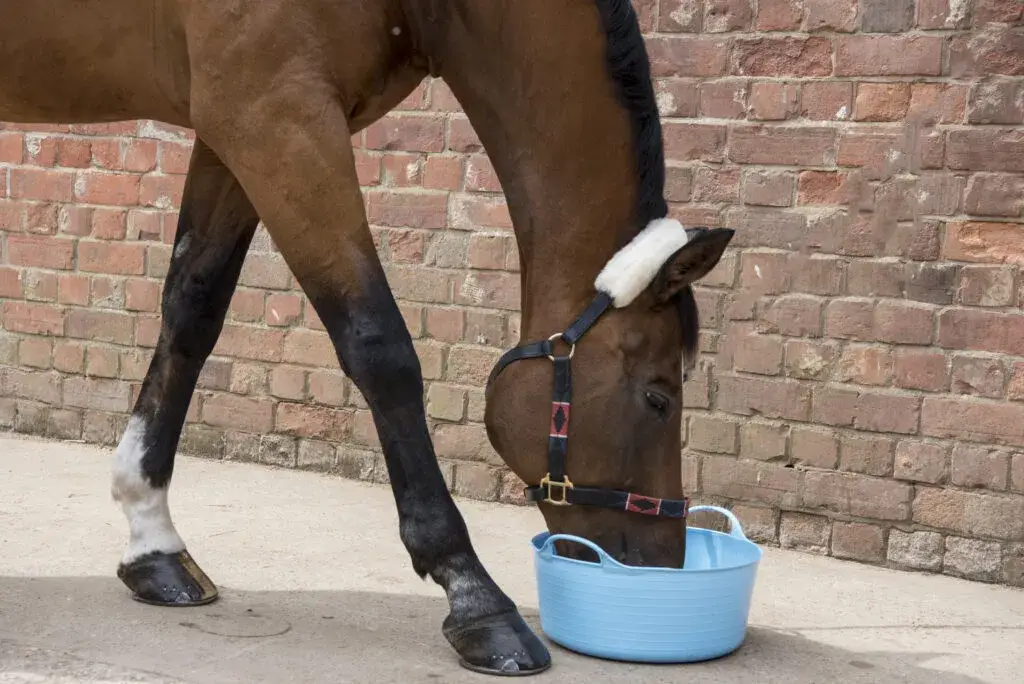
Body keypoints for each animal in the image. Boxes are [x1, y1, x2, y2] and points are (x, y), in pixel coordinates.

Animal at [0, 0, 733, 675]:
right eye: (659, 397)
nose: (665, 560)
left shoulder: (234, 123)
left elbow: (193, 308)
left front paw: (153, 540)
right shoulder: (280, 117)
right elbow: (380, 347)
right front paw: (475, 596)